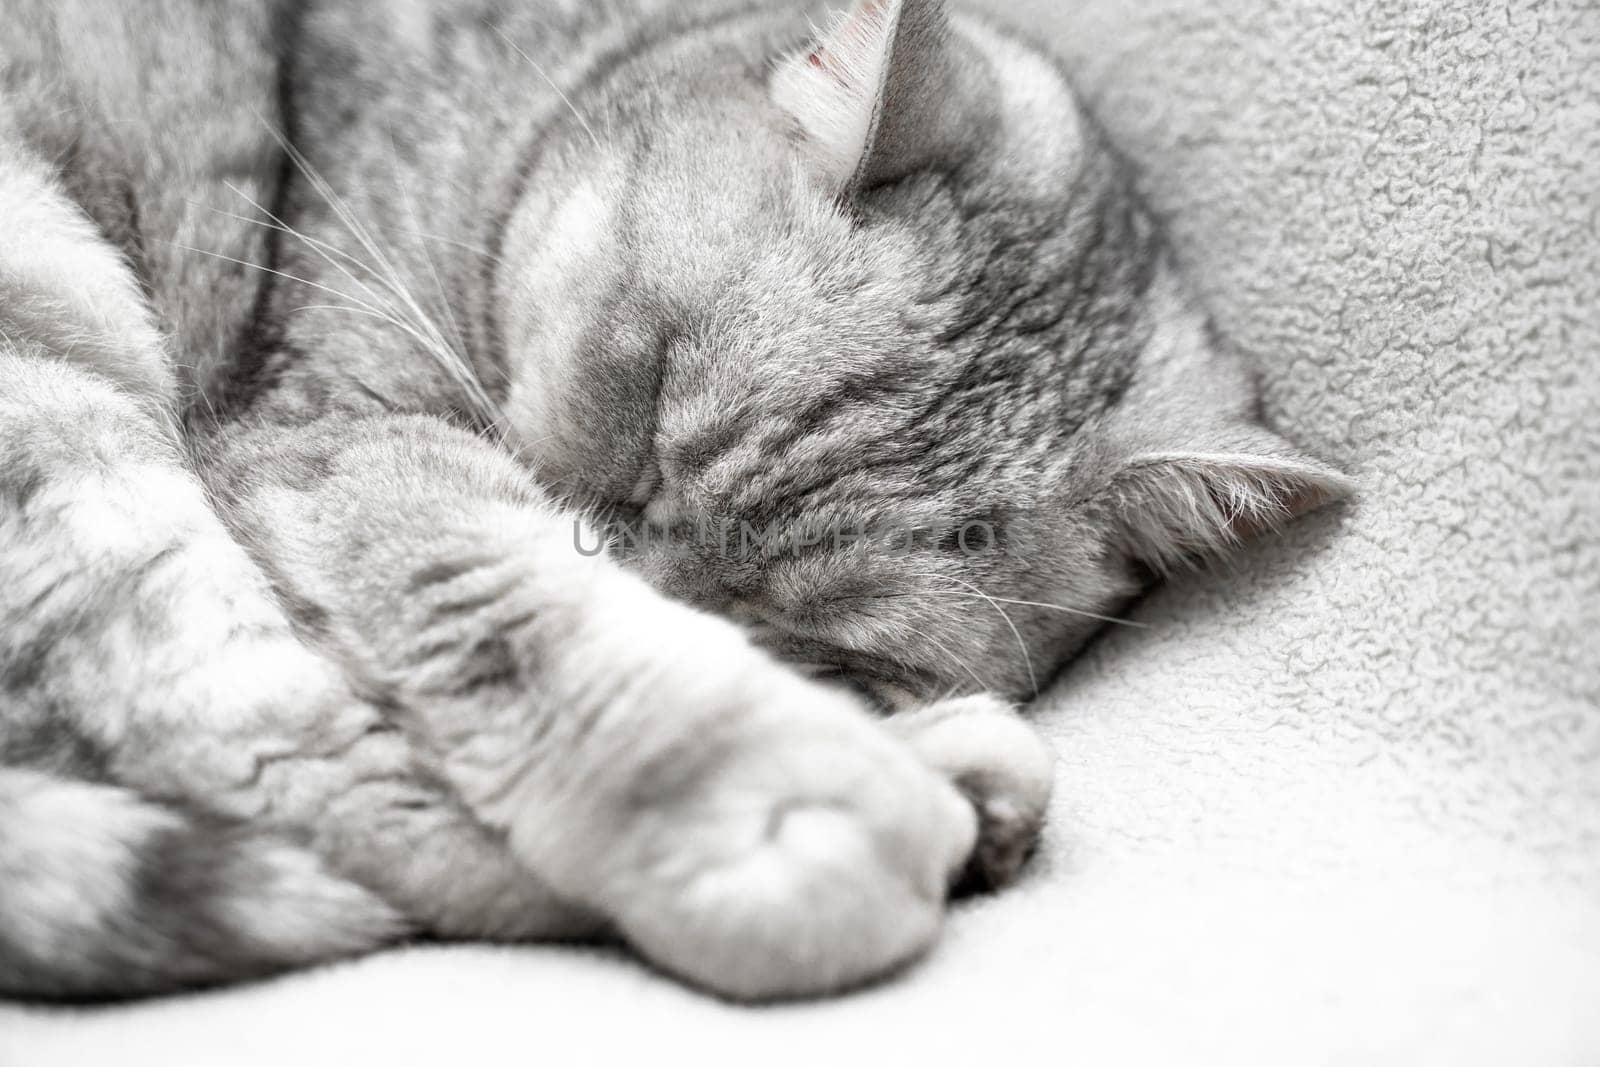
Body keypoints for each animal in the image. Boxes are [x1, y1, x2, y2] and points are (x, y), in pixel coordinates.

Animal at [0, 0, 1350, 1004]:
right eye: (643, 401)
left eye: (823, 631)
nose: (643, 578)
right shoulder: (329, 427)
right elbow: (531, 618)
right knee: (285, 766)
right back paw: (938, 792)